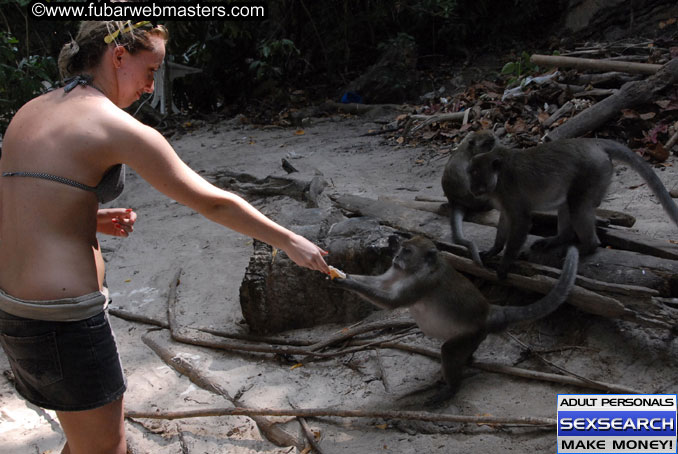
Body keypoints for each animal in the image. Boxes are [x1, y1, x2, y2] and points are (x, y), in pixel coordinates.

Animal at [332, 236, 576, 402]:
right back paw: (466, 362)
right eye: (401, 249)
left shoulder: (423, 282)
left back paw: (451, 388)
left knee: (449, 351)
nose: (397, 257)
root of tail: (488, 313)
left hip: (472, 334)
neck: (415, 269)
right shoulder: (397, 271)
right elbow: (381, 284)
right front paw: (341, 274)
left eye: (407, 251)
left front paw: (347, 282)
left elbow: (392, 301)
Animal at [444, 130, 496, 266]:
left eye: (492, 141)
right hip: (479, 203)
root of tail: (455, 201)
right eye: (486, 143)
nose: (493, 147)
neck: (468, 150)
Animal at [470, 131, 678, 278]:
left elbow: (521, 222)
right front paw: (494, 249)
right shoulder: (504, 198)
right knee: (566, 202)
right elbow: (506, 219)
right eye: (470, 173)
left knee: (577, 205)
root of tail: (593, 142)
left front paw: (505, 263)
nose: (472, 188)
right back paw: (560, 238)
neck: (498, 177)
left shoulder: (510, 191)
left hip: (594, 171)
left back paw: (588, 246)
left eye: (477, 174)